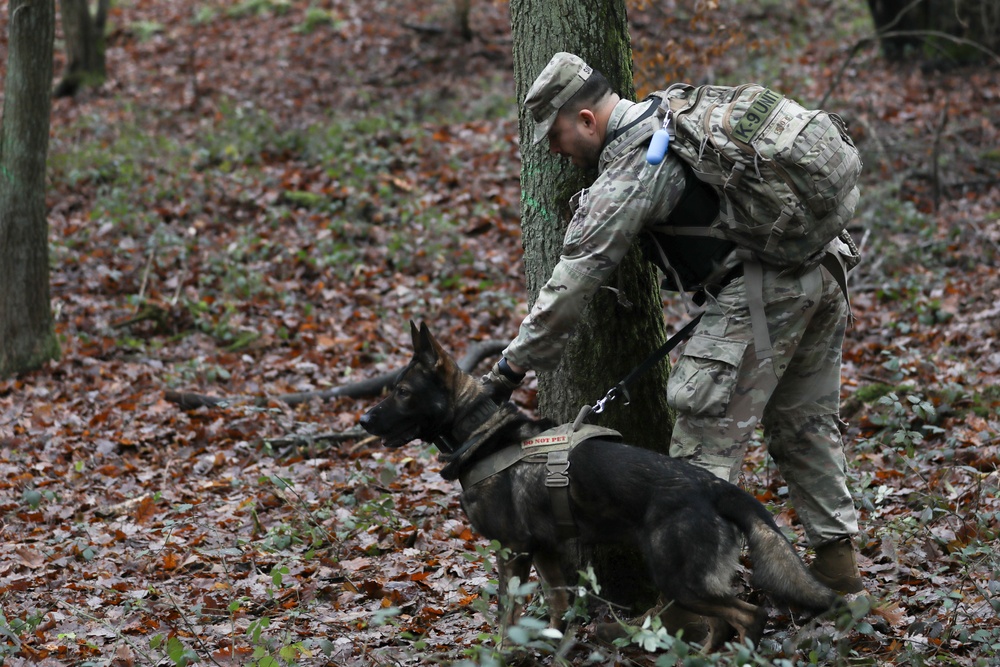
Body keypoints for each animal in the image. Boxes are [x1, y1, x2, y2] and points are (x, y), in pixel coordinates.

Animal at [360, 322, 836, 648]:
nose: (363, 419)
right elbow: (557, 609)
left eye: (402, 392)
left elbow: (507, 617)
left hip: (678, 577)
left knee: (748, 615)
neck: (479, 430)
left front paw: (503, 652)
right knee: (723, 622)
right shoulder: (546, 551)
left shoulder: (512, 551)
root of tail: (716, 489)